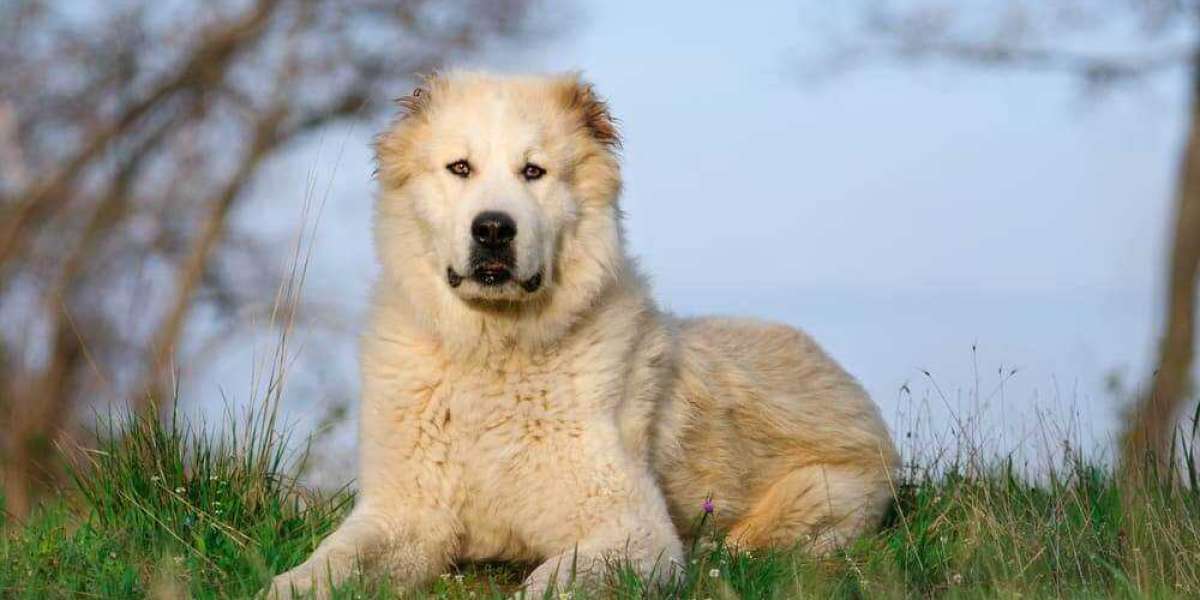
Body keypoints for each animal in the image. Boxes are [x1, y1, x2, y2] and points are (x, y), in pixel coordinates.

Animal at [267, 70, 897, 595]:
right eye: (460, 168)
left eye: (533, 171)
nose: (493, 229)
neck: (493, 355)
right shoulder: (403, 515)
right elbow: (329, 564)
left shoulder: (630, 527)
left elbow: (551, 582)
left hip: (808, 504)